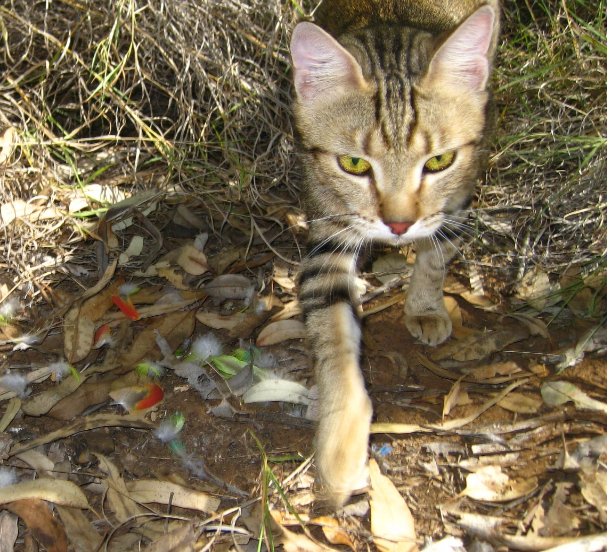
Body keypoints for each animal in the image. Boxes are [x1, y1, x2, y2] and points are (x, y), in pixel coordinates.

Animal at [290, 1, 498, 508]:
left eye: (440, 161)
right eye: (354, 164)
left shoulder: (456, 201)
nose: (399, 225)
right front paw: (341, 448)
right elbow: (335, 342)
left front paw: (425, 306)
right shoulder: (328, 235)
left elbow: (435, 256)